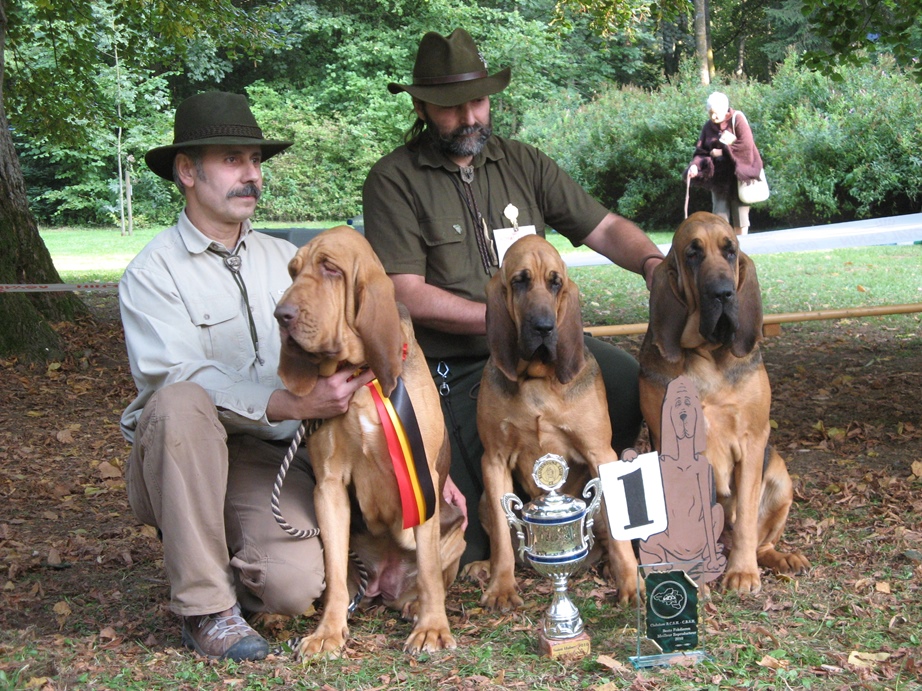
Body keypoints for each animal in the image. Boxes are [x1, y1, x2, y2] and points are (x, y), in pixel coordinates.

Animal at [272, 226, 460, 656]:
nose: (281, 315)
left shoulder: (426, 485)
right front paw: (327, 632)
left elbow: (430, 573)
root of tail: (383, 586)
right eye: (292, 270)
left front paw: (432, 628)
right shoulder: (328, 487)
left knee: (433, 576)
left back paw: (414, 606)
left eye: (330, 268)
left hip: (456, 525)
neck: (360, 376)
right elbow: (334, 572)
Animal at [470, 235, 636, 608]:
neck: (537, 380)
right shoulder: (493, 460)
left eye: (555, 282)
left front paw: (633, 585)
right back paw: (484, 567)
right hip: (485, 497)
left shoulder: (600, 452)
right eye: (520, 281)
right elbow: (501, 533)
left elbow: (620, 538)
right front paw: (501, 587)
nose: (544, 328)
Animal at [640, 214, 804, 592]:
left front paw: (742, 573)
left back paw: (781, 558)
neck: (706, 354)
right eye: (693, 254)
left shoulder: (753, 441)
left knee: (762, 542)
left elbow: (745, 517)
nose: (724, 293)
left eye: (730, 251)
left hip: (781, 478)